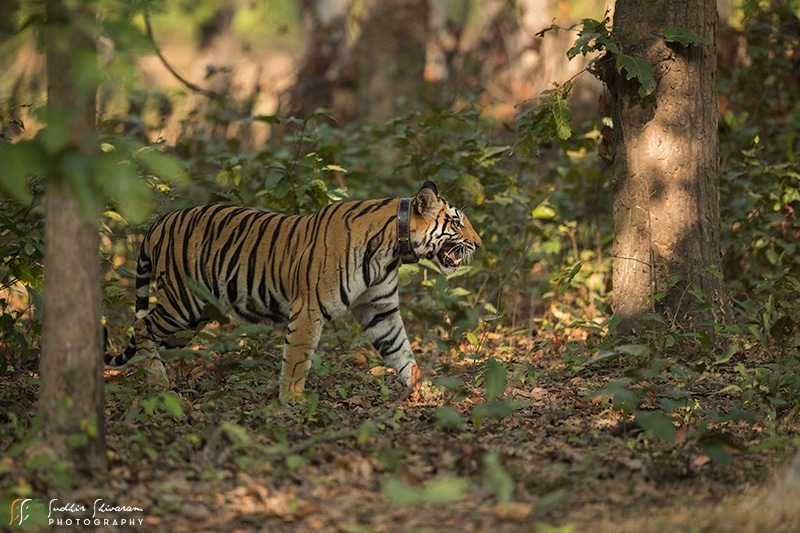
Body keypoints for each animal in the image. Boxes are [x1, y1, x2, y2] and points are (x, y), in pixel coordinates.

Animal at [105, 182, 482, 400]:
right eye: (457, 222)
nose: (479, 244)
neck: (393, 249)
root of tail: (159, 221)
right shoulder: (309, 308)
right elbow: (298, 359)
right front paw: (290, 402)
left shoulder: (380, 309)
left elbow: (402, 351)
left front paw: (424, 390)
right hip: (182, 300)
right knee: (141, 327)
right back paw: (159, 385)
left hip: (194, 316)